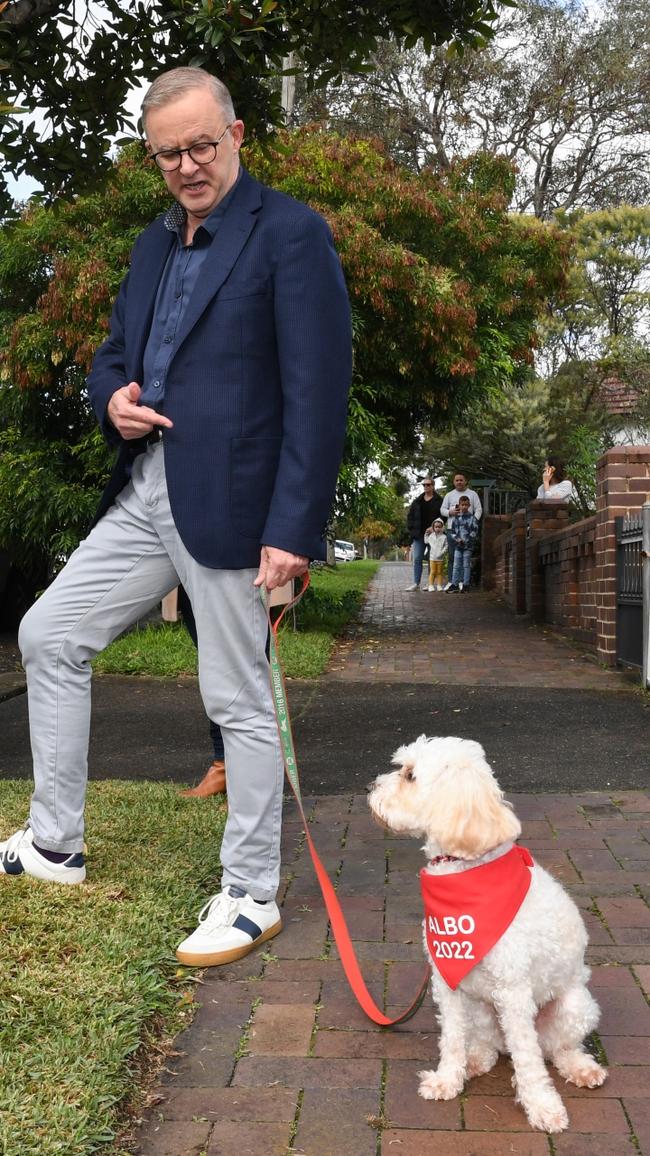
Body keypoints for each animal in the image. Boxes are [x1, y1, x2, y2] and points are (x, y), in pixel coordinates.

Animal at [367, 735, 606, 1132]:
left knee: (555, 1049)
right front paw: (447, 1079)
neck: (464, 868)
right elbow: (451, 1039)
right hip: (478, 1007)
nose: (370, 790)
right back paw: (474, 1061)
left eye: (410, 775)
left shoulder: (513, 992)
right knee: (488, 1046)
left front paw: (541, 1106)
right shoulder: (446, 983)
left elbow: (528, 1059)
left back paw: (581, 1068)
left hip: (575, 1005)